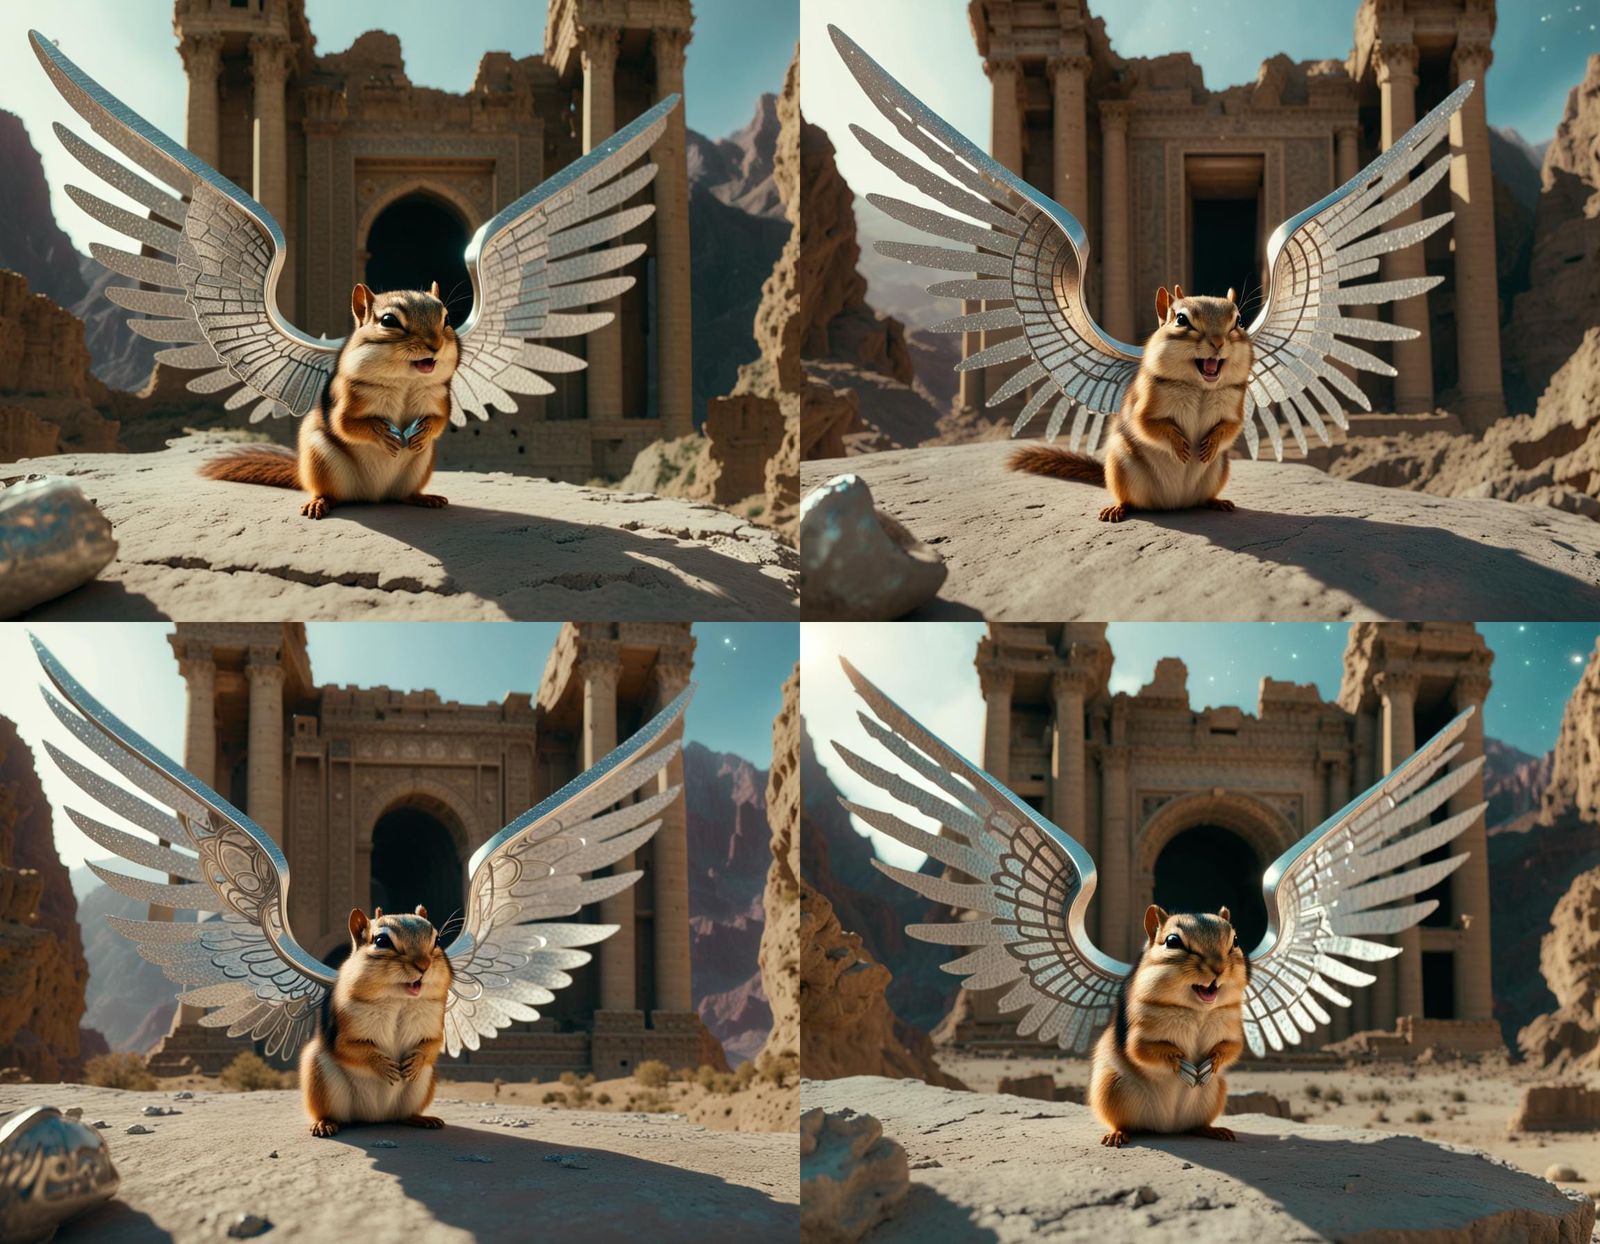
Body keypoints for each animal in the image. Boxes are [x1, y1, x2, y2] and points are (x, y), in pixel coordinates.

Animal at [200, 282, 460, 520]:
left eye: (447, 319)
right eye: (389, 321)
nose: (435, 345)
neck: (406, 381)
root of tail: (374, 495)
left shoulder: (441, 398)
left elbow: (440, 420)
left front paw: (425, 431)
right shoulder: (345, 398)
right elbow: (344, 425)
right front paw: (381, 434)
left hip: (422, 464)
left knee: (405, 495)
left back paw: (425, 498)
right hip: (320, 458)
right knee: (329, 493)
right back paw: (319, 502)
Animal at [301, 905, 454, 1138]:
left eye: (437, 941)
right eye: (382, 941)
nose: (424, 965)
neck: (399, 999)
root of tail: (375, 1116)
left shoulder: (434, 1024)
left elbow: (434, 1043)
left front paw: (415, 1062)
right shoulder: (343, 1030)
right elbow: (348, 1047)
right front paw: (382, 1065)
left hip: (424, 1082)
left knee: (403, 1115)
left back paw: (421, 1118)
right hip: (319, 1075)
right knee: (330, 1114)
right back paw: (324, 1123)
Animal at [1008, 286, 1254, 523]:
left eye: (1239, 322)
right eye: (1181, 319)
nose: (1218, 342)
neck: (1200, 387)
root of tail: (1175, 503)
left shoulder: (1234, 407)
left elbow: (1232, 427)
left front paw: (1212, 443)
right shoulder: (1144, 403)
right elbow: (1144, 425)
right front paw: (1178, 445)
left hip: (1220, 467)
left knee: (1203, 498)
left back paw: (1217, 502)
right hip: (1120, 465)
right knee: (1128, 500)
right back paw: (1117, 509)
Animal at [1090, 905, 1249, 1149]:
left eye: (1236, 941)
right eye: (1173, 941)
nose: (1219, 968)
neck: (1198, 1011)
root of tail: (1166, 1127)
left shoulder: (1232, 1029)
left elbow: (1231, 1048)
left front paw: (1210, 1064)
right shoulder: (1139, 1031)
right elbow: (1142, 1050)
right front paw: (1182, 1065)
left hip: (1216, 1093)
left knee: (1196, 1126)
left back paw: (1214, 1130)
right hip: (1110, 1089)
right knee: (1121, 1123)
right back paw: (1116, 1135)